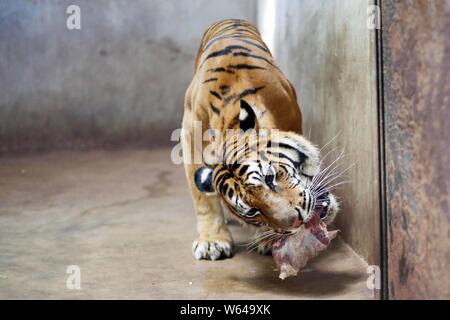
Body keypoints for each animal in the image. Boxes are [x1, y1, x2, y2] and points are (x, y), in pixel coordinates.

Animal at [181, 18, 340, 260]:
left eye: (270, 178)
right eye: (252, 211)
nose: (297, 221)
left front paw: (268, 239)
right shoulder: (190, 137)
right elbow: (203, 199)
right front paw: (212, 242)